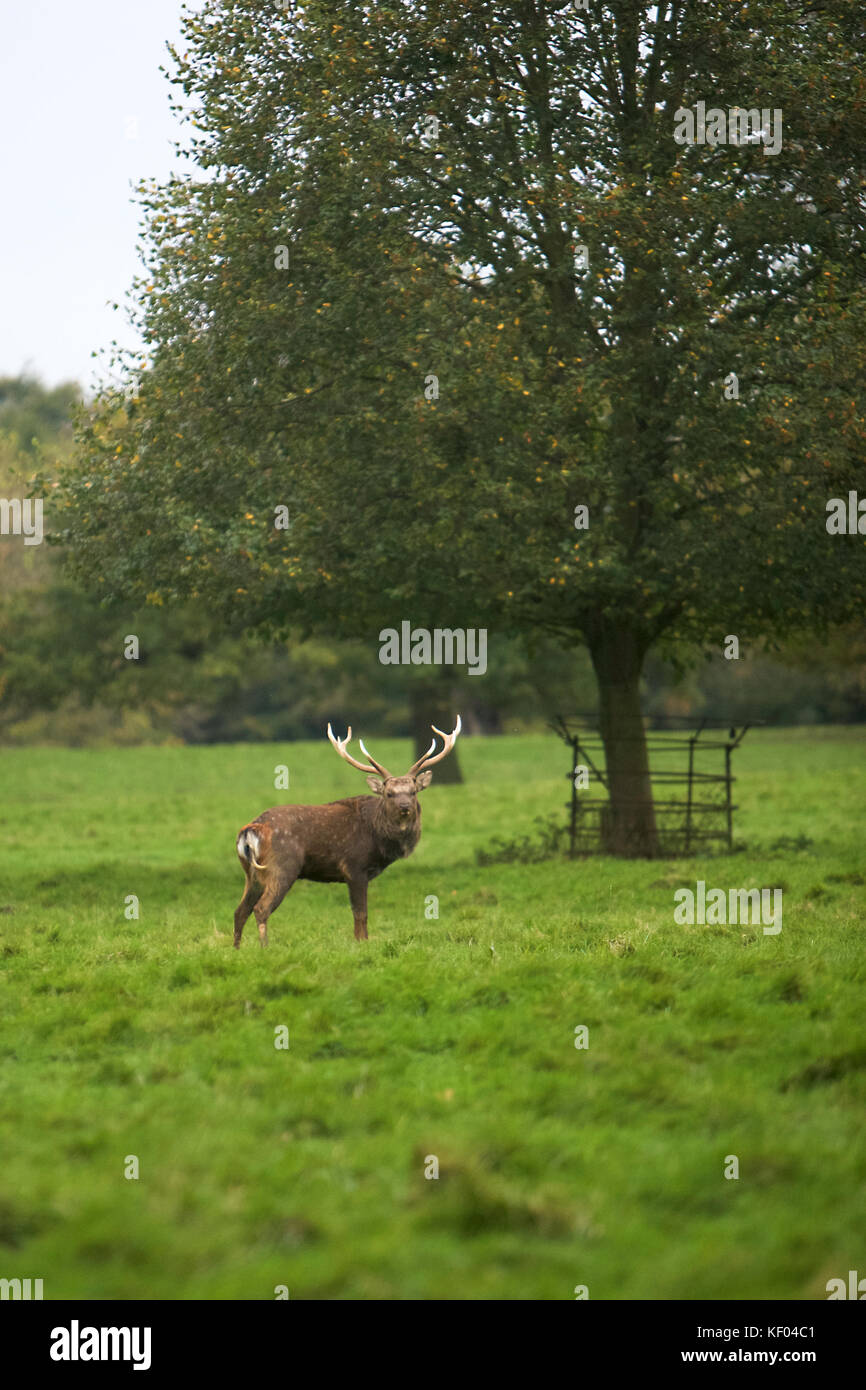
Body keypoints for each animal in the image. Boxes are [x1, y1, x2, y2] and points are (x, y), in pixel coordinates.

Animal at [230, 717, 461, 945]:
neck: (379, 840)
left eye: (413, 792)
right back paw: (265, 948)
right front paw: (362, 943)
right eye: (389, 793)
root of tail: (252, 829)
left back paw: (237, 949)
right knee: (261, 908)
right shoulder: (354, 867)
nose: (405, 807)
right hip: (282, 866)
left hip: (252, 873)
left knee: (240, 911)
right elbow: (361, 914)